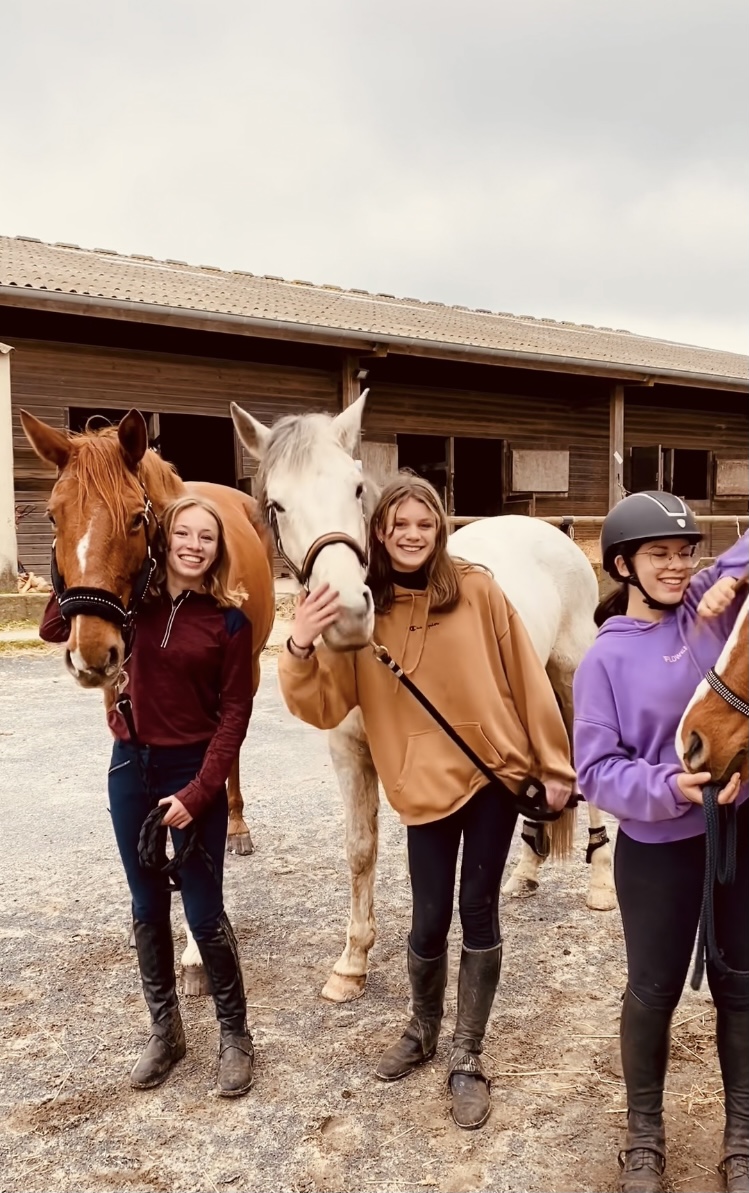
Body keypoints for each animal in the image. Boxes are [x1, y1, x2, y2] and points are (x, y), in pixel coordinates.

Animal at [232, 396, 615, 1002]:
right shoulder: (347, 751)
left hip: (569, 678)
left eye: (356, 486)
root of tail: (553, 533)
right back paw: (525, 872)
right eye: (276, 505)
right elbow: (360, 849)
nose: (346, 612)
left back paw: (600, 883)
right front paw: (352, 962)